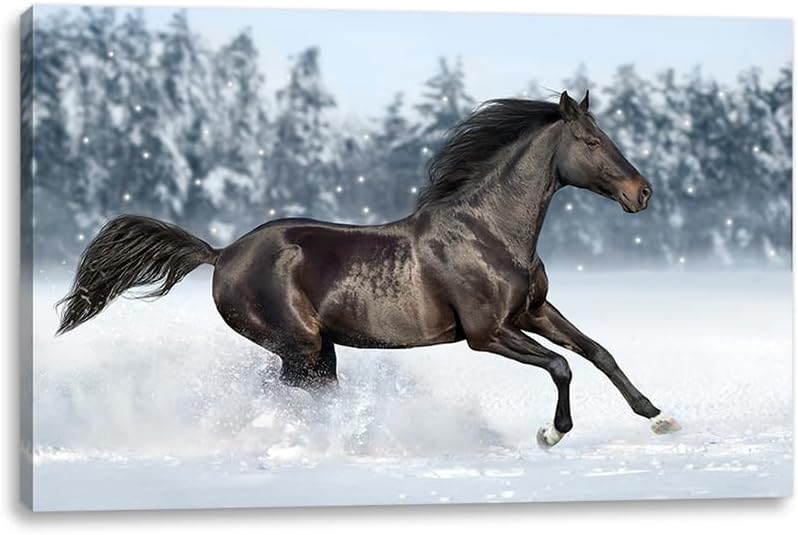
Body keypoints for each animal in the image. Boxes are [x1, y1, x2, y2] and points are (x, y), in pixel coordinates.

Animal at [57, 91, 680, 448]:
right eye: (592, 140)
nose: (643, 192)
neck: (490, 232)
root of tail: (222, 253)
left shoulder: (533, 310)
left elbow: (597, 352)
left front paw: (657, 416)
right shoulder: (486, 333)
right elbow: (561, 366)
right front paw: (551, 433)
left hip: (315, 351)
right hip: (301, 346)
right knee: (296, 395)